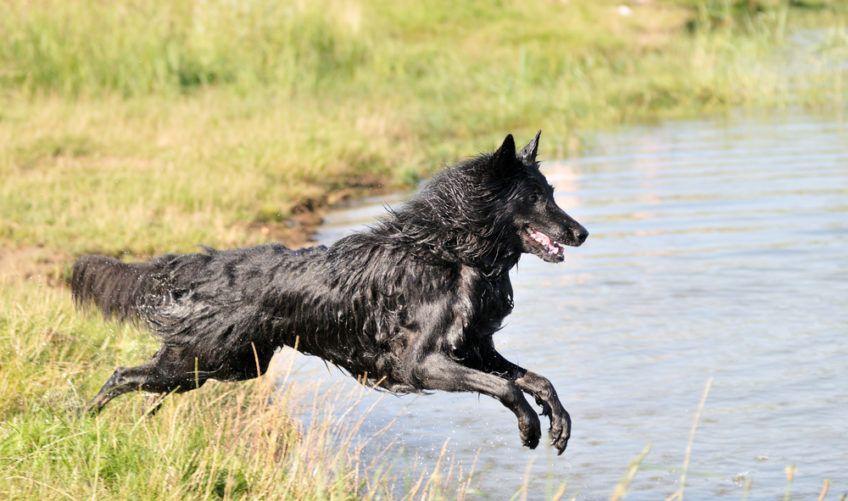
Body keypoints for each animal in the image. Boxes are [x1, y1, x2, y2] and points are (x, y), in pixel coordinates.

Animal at [73, 133, 588, 454]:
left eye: (552, 192)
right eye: (536, 198)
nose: (582, 232)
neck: (449, 250)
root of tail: (209, 264)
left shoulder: (476, 350)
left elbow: (536, 379)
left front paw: (558, 421)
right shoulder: (421, 364)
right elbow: (507, 387)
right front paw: (529, 426)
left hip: (228, 366)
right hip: (201, 360)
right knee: (122, 374)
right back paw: (81, 417)